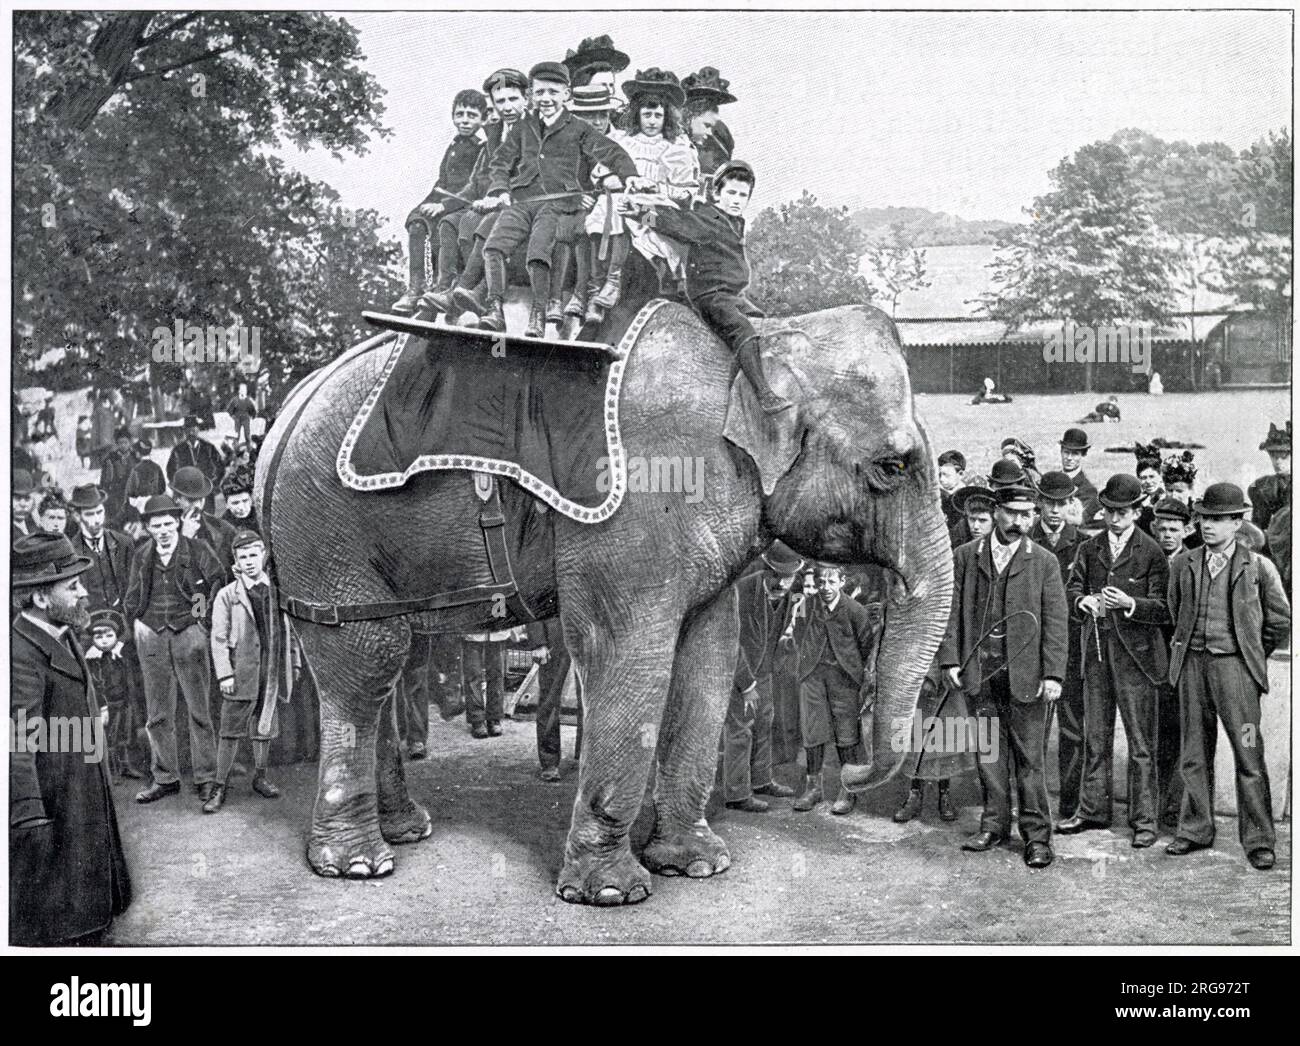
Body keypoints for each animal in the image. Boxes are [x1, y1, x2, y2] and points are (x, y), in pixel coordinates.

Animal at [258, 297, 956, 904]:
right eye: (892, 467)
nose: (851, 778)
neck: (762, 340)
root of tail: (288, 410)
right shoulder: (639, 503)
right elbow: (629, 654)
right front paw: (612, 893)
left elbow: (708, 657)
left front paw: (698, 865)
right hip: (327, 530)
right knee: (368, 660)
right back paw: (358, 864)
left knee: (390, 658)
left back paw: (406, 830)